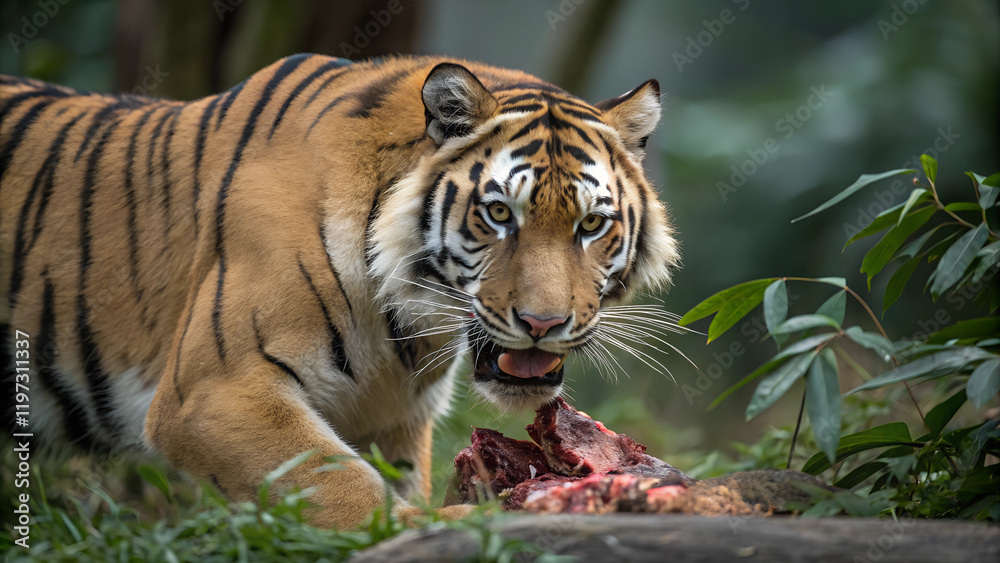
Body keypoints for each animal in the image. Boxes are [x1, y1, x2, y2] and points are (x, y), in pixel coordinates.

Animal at [0, 53, 679, 529]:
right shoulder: (211, 391)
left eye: (590, 224)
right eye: (498, 214)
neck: (405, 323)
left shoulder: (393, 419)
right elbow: (340, 485)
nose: (542, 323)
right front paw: (442, 525)